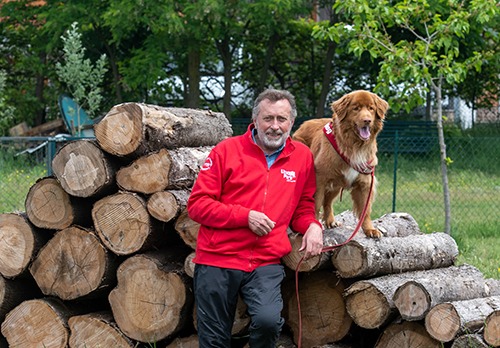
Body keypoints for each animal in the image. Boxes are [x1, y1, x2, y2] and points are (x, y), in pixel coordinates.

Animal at [294, 89, 388, 238]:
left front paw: (369, 229)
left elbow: (365, 209)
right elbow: (315, 205)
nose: (367, 120)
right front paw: (313, 227)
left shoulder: (365, 182)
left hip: (337, 184)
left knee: (328, 202)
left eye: (371, 108)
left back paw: (330, 221)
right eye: (356, 108)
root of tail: (303, 124)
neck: (354, 146)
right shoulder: (319, 179)